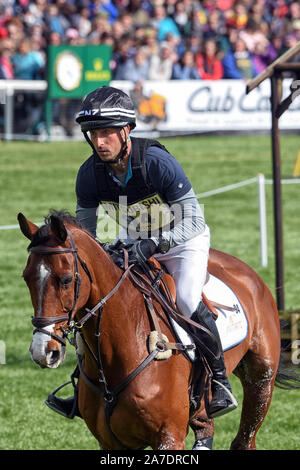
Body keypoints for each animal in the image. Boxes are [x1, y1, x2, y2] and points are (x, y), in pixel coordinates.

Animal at [18, 211, 298, 450]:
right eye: (26, 277)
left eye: (66, 279)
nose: (43, 351)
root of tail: (249, 273)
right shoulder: (111, 441)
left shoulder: (168, 436)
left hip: (260, 382)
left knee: (244, 438)